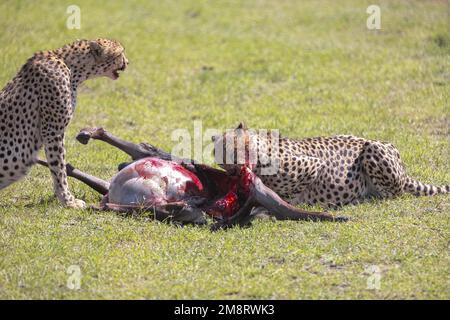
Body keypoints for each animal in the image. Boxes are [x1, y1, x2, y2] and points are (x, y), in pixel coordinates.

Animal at [1, 38, 128, 208]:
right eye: (120, 53)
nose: (127, 62)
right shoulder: (52, 131)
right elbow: (59, 168)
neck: (71, 67)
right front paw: (68, 201)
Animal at [212, 122, 450, 208]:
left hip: (373, 149)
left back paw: (360, 200)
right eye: (223, 154)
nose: (236, 167)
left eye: (239, 147)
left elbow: (293, 192)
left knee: (394, 193)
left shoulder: (314, 165)